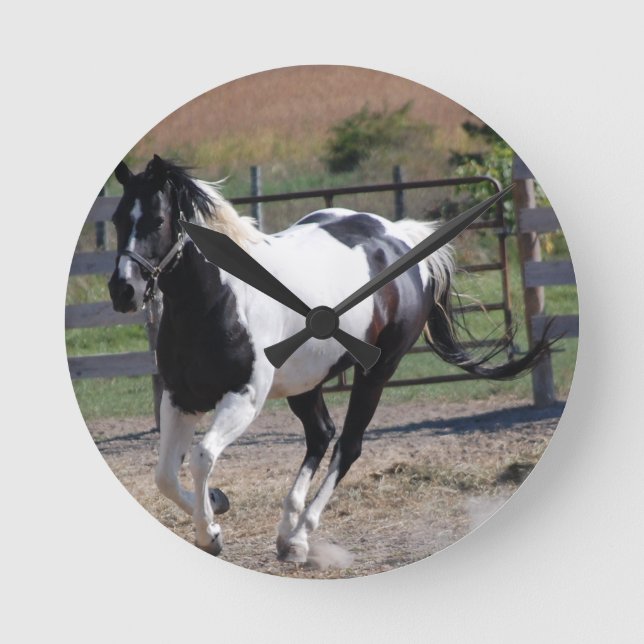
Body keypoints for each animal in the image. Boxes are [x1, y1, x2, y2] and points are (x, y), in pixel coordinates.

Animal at [108, 155, 550, 562]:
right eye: (115, 219)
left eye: (157, 220)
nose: (123, 290)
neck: (218, 299)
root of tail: (400, 238)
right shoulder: (180, 397)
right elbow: (164, 476)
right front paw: (217, 503)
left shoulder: (244, 398)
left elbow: (201, 458)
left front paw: (210, 534)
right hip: (307, 379)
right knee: (321, 433)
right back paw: (286, 530)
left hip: (377, 372)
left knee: (347, 444)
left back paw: (300, 538)